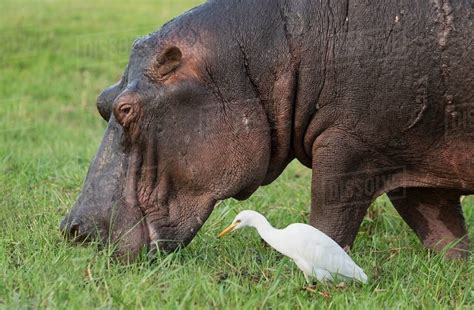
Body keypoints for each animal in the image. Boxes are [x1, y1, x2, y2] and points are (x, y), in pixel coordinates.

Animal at [61, 0, 472, 260]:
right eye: (102, 100)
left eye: (126, 109)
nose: (72, 228)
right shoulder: (411, 161)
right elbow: (443, 234)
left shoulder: (348, 148)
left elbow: (329, 220)